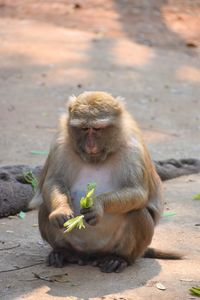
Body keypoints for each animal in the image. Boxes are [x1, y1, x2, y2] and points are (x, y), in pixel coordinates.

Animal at [29, 91, 181, 272]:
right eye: (84, 128)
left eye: (97, 129)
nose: (90, 145)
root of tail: (91, 254)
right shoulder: (60, 145)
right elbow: (54, 182)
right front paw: (61, 211)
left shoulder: (133, 149)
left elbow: (137, 192)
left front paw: (97, 205)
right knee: (45, 208)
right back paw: (65, 252)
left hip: (114, 247)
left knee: (138, 213)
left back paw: (119, 258)